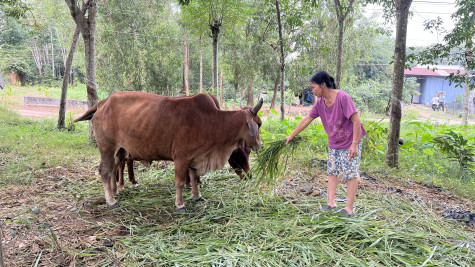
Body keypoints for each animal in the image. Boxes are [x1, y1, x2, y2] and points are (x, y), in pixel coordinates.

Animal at [73, 92, 264, 211]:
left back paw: (114, 193)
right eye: (259, 124)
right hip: (107, 147)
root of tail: (102, 103)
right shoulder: (181, 157)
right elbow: (179, 181)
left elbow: (193, 176)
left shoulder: (195, 156)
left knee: (113, 169)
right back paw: (111, 201)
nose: (260, 146)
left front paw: (197, 196)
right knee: (105, 171)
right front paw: (180, 205)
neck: (212, 120)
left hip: (118, 150)